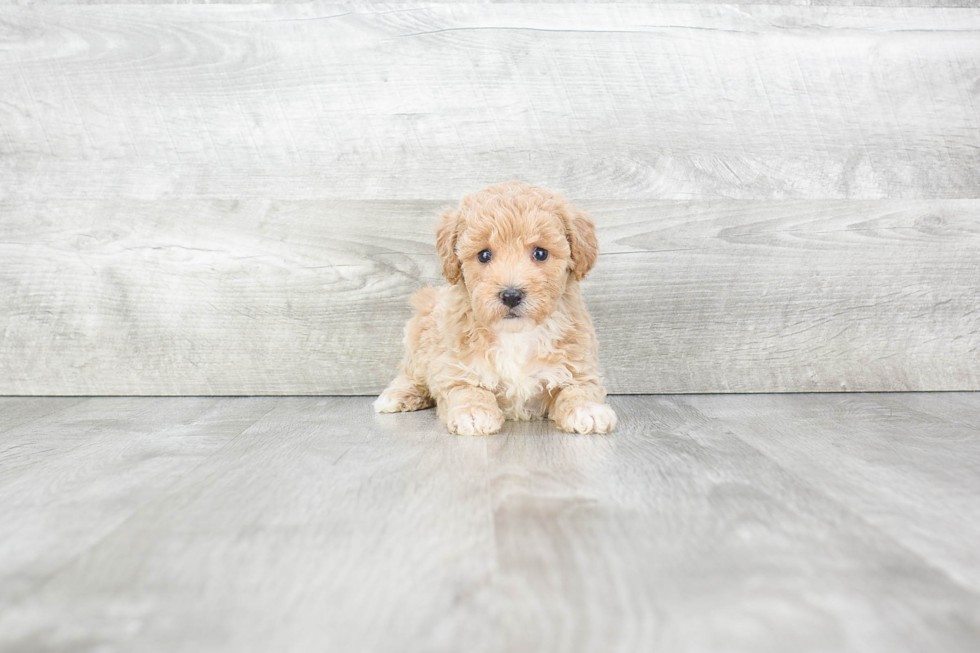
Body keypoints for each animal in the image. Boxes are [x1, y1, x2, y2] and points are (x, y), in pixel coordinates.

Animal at [372, 181, 616, 436]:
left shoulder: (578, 362)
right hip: (419, 333)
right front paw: (473, 413)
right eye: (484, 255)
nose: (511, 295)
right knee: (411, 373)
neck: (516, 334)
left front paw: (587, 410)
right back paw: (398, 395)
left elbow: (579, 387)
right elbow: (468, 390)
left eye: (540, 253)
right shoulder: (455, 368)